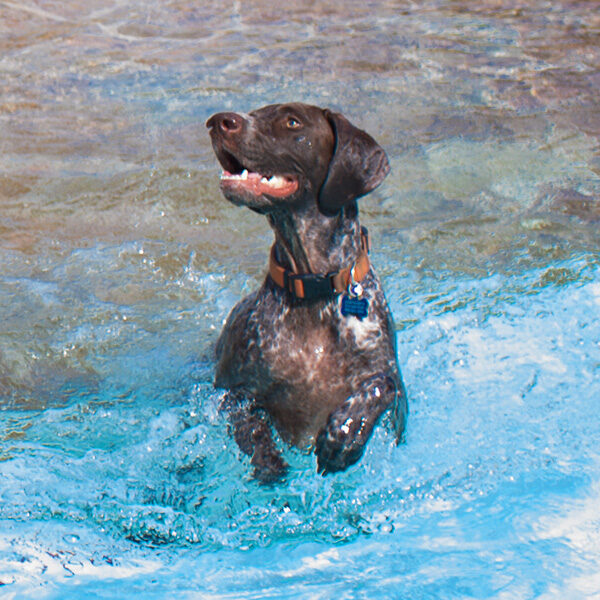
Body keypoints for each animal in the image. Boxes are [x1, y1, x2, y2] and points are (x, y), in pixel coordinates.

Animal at [206, 101, 408, 480]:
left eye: (292, 122)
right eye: (256, 112)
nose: (217, 121)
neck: (313, 288)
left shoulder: (399, 402)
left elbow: (381, 386)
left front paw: (343, 435)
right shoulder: (233, 392)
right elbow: (250, 424)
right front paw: (269, 462)